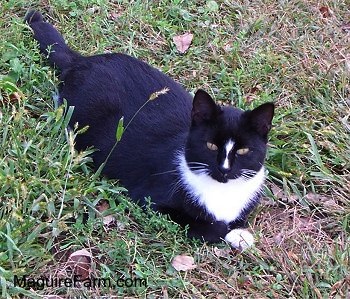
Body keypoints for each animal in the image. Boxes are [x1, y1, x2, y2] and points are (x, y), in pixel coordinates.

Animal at [26, 10, 274, 251]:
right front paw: (235, 234)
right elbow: (209, 227)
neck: (222, 193)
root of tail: (80, 61)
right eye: (211, 145)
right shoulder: (153, 198)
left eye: (243, 151)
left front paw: (240, 232)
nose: (224, 170)